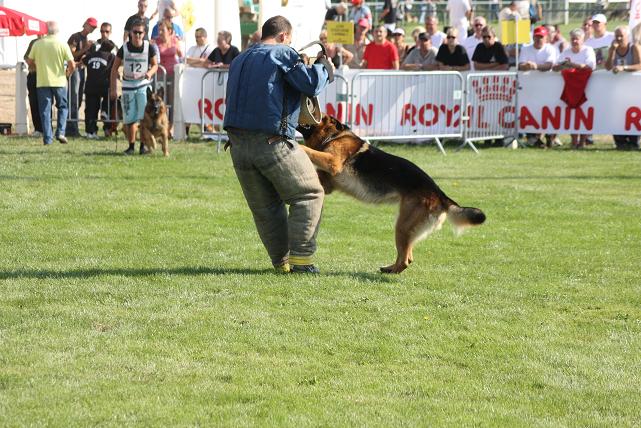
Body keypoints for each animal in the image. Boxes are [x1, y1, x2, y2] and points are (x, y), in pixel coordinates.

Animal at [296, 114, 484, 274]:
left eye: (318, 115)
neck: (334, 136)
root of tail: (440, 194)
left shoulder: (332, 162)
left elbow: (310, 151)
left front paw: (297, 145)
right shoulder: (328, 182)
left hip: (402, 226)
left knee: (405, 260)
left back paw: (391, 271)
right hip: (407, 228)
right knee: (408, 256)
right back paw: (388, 268)